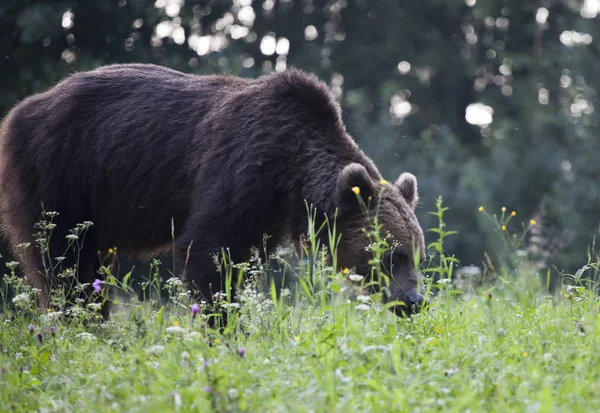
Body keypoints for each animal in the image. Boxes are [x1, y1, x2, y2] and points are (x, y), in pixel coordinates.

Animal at [0, 63, 426, 316]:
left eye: (419, 255)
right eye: (392, 255)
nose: (414, 301)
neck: (293, 175)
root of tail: (21, 109)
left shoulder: (269, 213)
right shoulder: (241, 169)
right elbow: (211, 254)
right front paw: (222, 324)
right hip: (60, 172)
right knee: (64, 260)